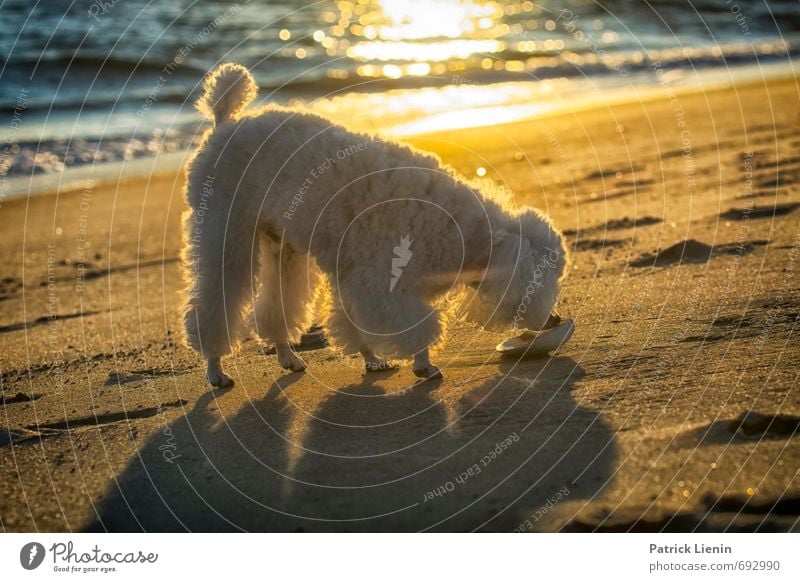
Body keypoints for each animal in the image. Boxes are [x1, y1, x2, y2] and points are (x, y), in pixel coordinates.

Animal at [181, 62, 568, 388]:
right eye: (544, 280)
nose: (554, 320)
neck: (460, 229)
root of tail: (226, 122)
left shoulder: (352, 273)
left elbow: (353, 321)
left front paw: (372, 360)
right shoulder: (379, 281)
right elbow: (411, 325)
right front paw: (424, 364)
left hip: (281, 245)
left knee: (278, 302)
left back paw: (287, 355)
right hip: (225, 226)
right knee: (217, 296)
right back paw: (215, 368)